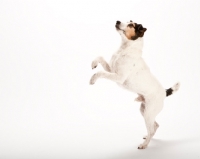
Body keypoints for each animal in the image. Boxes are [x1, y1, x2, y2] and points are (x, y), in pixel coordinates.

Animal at [89, 20, 180, 149]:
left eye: (131, 25)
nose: (117, 21)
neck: (124, 49)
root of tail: (164, 92)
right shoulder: (111, 69)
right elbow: (100, 57)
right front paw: (94, 63)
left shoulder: (119, 77)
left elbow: (100, 72)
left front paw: (93, 79)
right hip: (144, 110)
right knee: (155, 126)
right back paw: (147, 138)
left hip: (148, 113)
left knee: (151, 129)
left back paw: (144, 145)